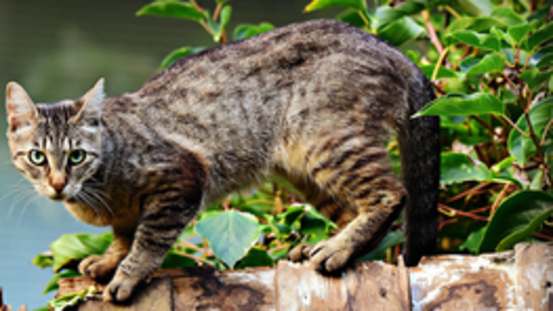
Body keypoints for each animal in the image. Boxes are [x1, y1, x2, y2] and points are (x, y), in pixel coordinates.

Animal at [5, 19, 436, 302]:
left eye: (76, 156)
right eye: (37, 157)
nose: (57, 184)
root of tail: (394, 50)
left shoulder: (181, 179)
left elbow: (148, 239)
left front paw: (127, 274)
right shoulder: (127, 214)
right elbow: (123, 236)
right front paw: (109, 260)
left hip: (327, 143)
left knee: (391, 194)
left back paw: (336, 250)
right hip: (302, 169)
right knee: (350, 208)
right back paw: (323, 245)